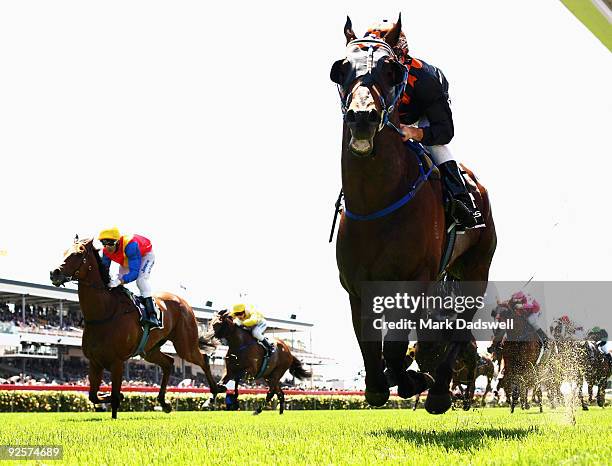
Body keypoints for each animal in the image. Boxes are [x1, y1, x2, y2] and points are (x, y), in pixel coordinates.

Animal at [49, 238, 220, 416]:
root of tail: (183, 302)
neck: (104, 312)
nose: (54, 272)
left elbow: (114, 397)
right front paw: (117, 396)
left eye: (78, 253)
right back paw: (164, 402)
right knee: (169, 362)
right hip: (149, 350)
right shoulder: (95, 362)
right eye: (64, 252)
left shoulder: (117, 362)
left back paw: (214, 392)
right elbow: (93, 396)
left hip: (185, 345)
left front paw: (118, 402)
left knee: (203, 359)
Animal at [330, 16, 498, 414]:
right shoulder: (356, 286)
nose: (362, 118)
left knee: (459, 328)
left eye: (390, 69)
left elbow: (394, 348)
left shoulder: (414, 279)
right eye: (341, 68)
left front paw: (414, 381)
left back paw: (439, 392)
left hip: (476, 269)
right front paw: (381, 385)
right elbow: (371, 348)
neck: (376, 203)